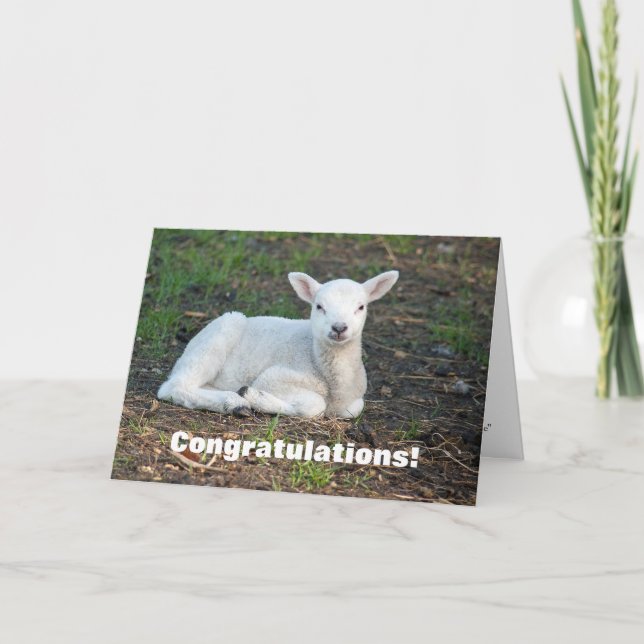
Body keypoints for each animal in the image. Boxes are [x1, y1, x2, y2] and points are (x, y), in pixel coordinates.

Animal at [157, 270, 399, 418]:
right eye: (319, 306)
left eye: (361, 307)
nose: (339, 328)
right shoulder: (274, 377)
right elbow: (315, 405)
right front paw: (256, 397)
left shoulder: (353, 401)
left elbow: (355, 408)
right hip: (221, 332)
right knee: (174, 386)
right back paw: (234, 402)